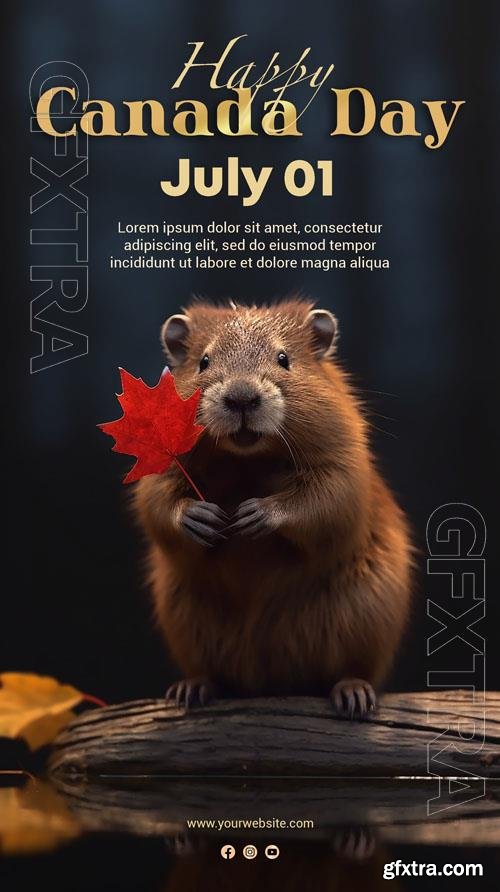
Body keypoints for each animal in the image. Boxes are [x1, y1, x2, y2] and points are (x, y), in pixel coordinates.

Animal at [135, 300, 412, 716]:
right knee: (210, 672)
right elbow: (158, 501)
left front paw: (254, 514)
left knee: (351, 671)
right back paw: (191, 690)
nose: (242, 398)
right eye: (203, 361)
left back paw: (353, 696)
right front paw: (204, 518)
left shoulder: (343, 460)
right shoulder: (160, 466)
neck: (248, 459)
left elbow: (329, 500)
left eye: (284, 358)